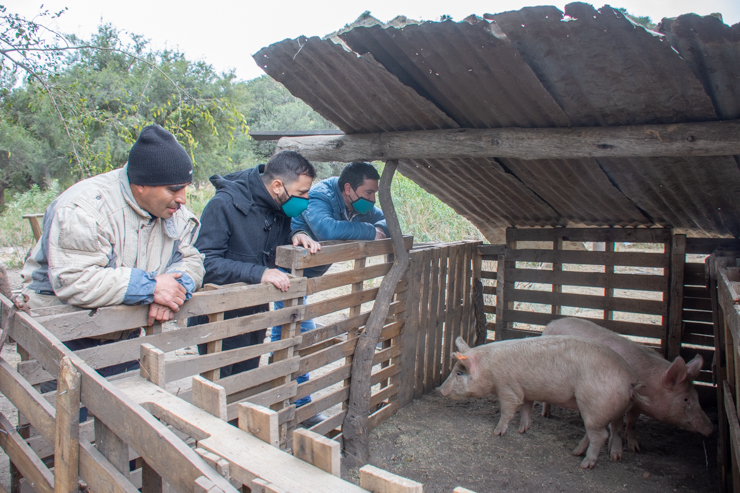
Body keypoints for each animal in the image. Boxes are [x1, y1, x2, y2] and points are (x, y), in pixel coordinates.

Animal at [438, 335, 646, 469]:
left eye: (459, 373)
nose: (439, 389)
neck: (488, 368)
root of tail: (630, 380)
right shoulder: (526, 391)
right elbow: (526, 409)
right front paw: (522, 430)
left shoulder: (507, 388)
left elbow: (508, 410)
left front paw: (497, 432)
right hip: (599, 410)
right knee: (596, 432)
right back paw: (576, 452)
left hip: (594, 405)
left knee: (600, 436)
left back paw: (584, 464)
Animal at [543, 317, 713, 458]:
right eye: (686, 399)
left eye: (697, 395)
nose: (712, 429)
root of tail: (551, 324)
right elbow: (616, 426)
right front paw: (615, 455)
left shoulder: (636, 406)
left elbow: (632, 423)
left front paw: (636, 448)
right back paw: (547, 415)